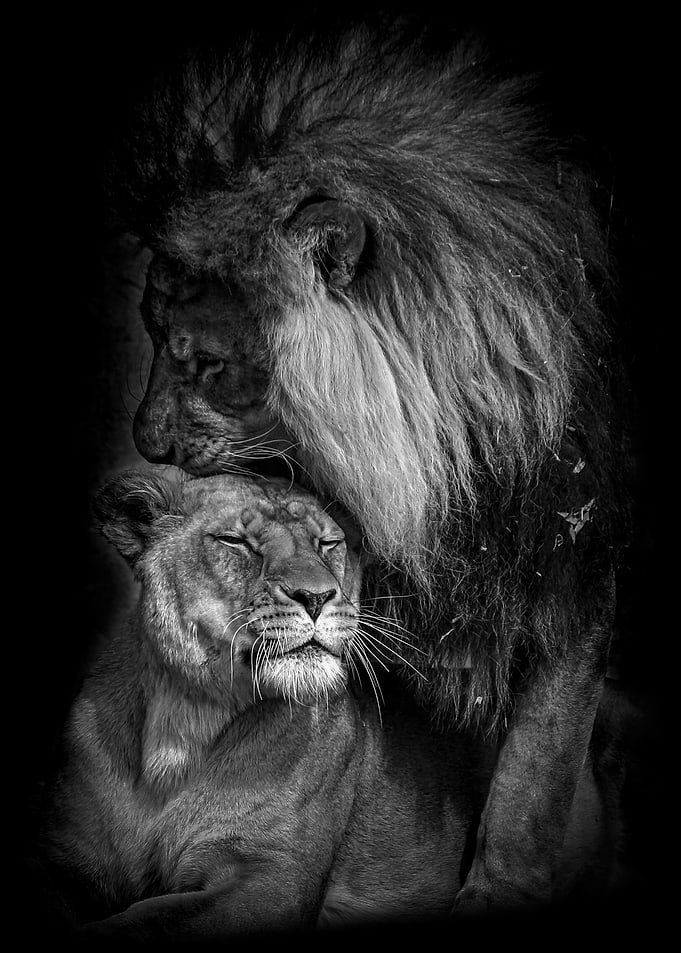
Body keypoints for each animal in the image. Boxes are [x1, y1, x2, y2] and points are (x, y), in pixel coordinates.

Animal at [104, 16, 634, 911]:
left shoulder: (571, 573)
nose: (147, 444)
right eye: (148, 333)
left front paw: (498, 886)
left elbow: (535, 770)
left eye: (204, 361)